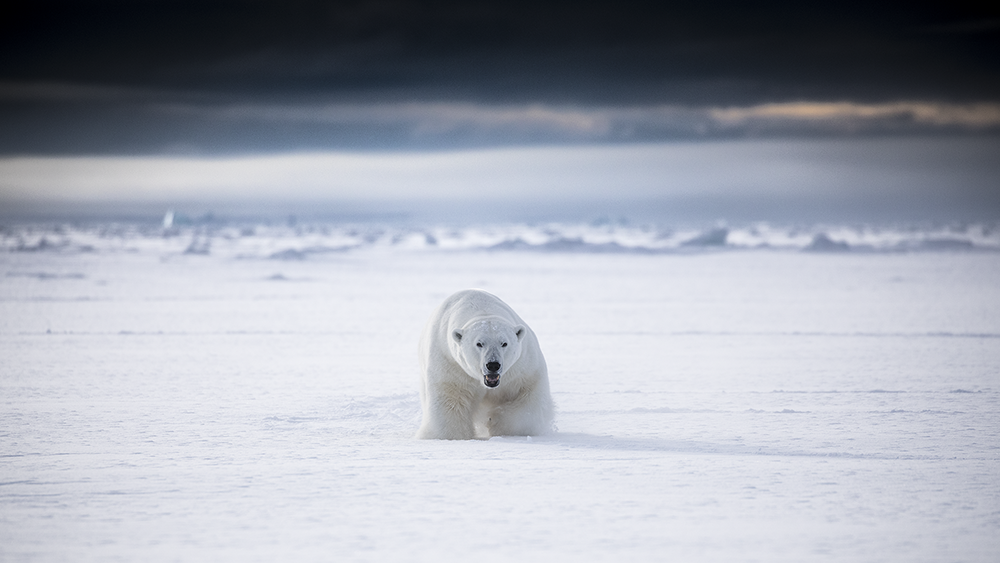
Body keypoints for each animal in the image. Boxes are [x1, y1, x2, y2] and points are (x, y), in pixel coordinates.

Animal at [416, 289, 554, 440]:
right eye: (479, 343)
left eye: (504, 343)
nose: (493, 365)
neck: (482, 309)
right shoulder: (451, 364)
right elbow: (450, 401)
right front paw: (450, 435)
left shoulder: (521, 368)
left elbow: (526, 399)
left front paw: (498, 424)